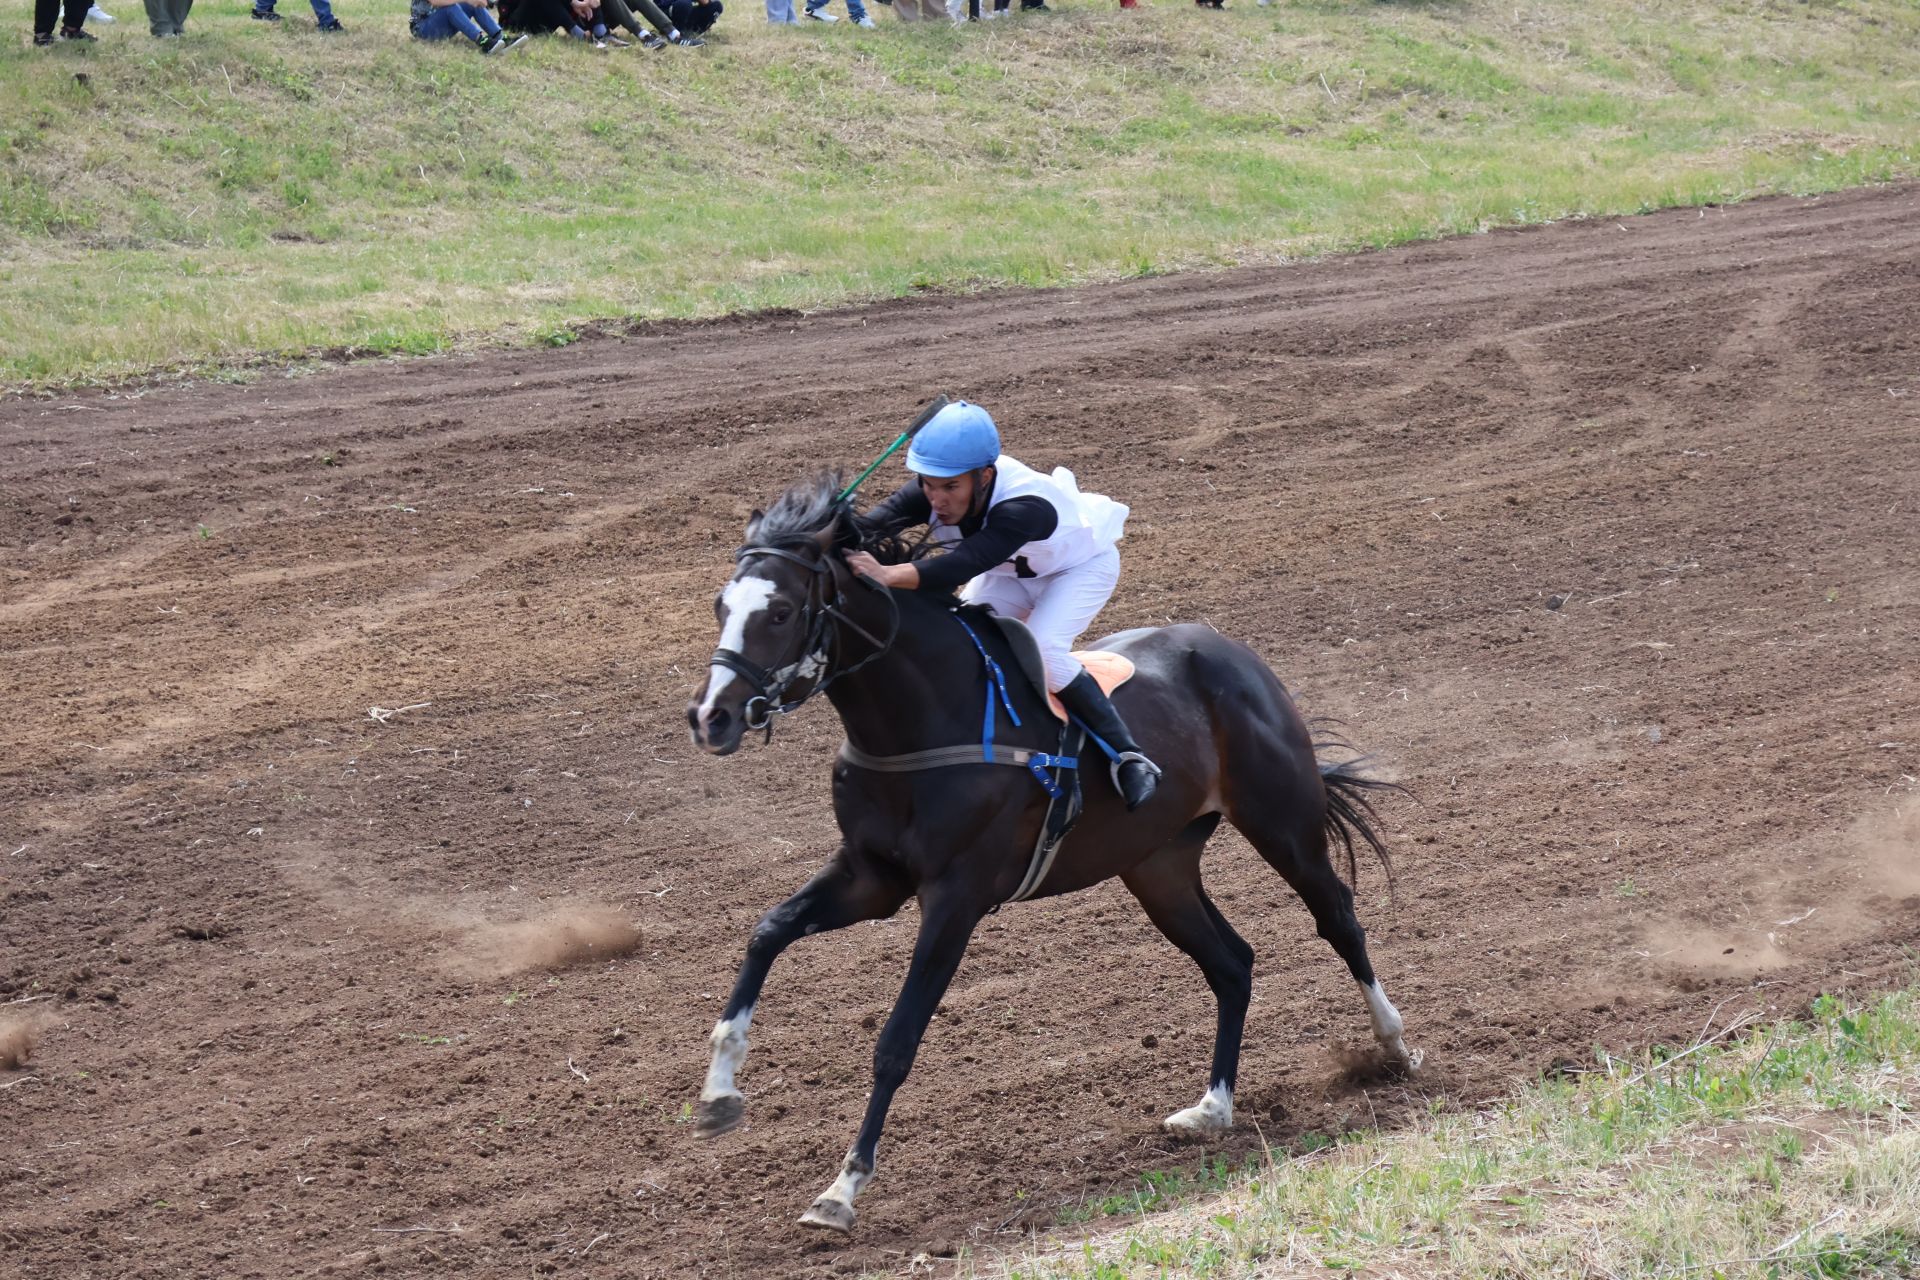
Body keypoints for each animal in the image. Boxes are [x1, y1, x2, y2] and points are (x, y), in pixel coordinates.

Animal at [683, 475, 1420, 1235]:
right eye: (721, 606)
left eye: (780, 612)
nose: (710, 717)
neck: (921, 723)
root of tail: (1234, 652)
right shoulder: (870, 878)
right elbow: (768, 930)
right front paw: (719, 1095)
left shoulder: (956, 897)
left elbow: (897, 1040)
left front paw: (843, 1188)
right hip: (1157, 867)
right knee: (1232, 963)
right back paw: (1213, 1107)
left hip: (1283, 824)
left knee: (1338, 919)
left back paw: (1393, 1045)